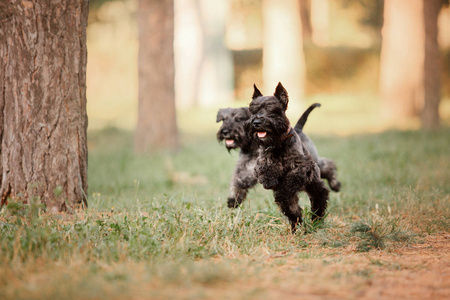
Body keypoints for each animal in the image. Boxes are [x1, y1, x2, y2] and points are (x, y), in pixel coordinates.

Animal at [246, 83, 330, 233]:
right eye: (252, 110)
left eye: (272, 109)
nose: (256, 122)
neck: (278, 143)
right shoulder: (262, 162)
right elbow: (266, 169)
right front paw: (269, 180)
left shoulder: (302, 166)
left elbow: (292, 177)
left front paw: (286, 184)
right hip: (288, 202)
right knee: (293, 211)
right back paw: (296, 227)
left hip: (314, 184)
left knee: (320, 197)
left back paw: (317, 220)